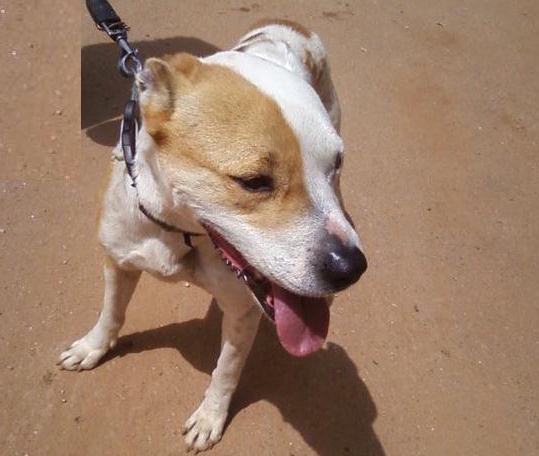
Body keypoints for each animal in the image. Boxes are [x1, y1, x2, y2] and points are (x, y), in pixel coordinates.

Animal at [59, 19, 367, 452]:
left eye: (334, 163)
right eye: (253, 181)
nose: (350, 268)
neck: (180, 232)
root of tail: (288, 24)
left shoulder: (241, 311)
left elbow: (226, 370)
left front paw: (210, 418)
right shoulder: (118, 260)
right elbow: (111, 312)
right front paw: (92, 347)